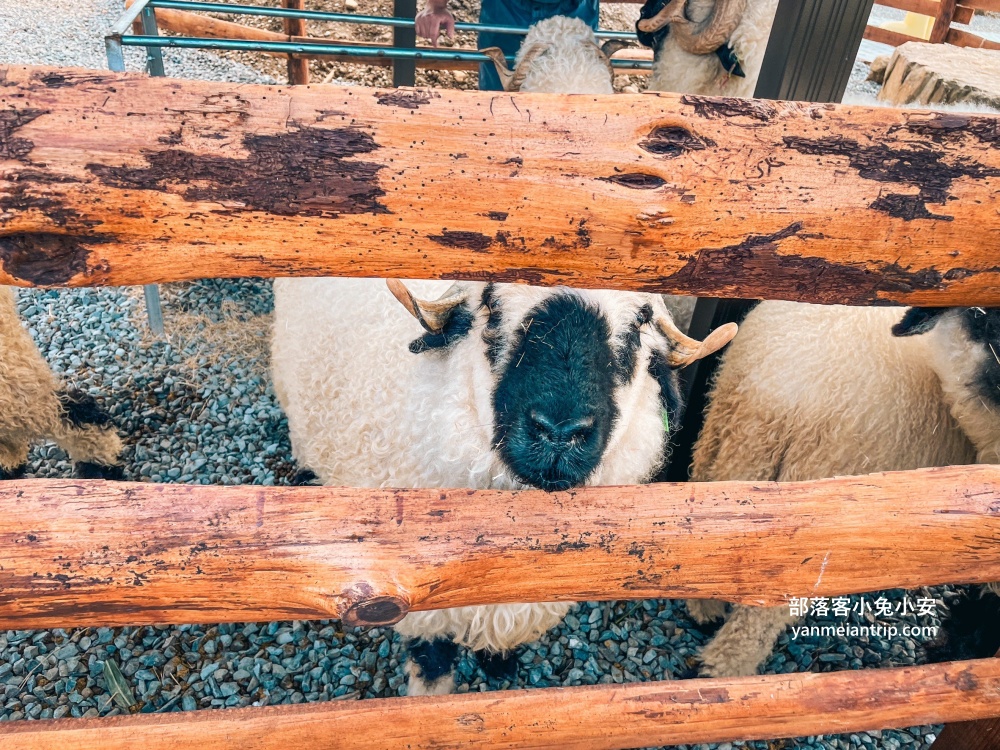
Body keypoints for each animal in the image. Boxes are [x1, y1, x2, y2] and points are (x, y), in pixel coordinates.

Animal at [272, 280, 736, 696]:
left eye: (640, 321)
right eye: (492, 306)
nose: (559, 432)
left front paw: (498, 664)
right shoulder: (416, 601)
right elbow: (432, 666)